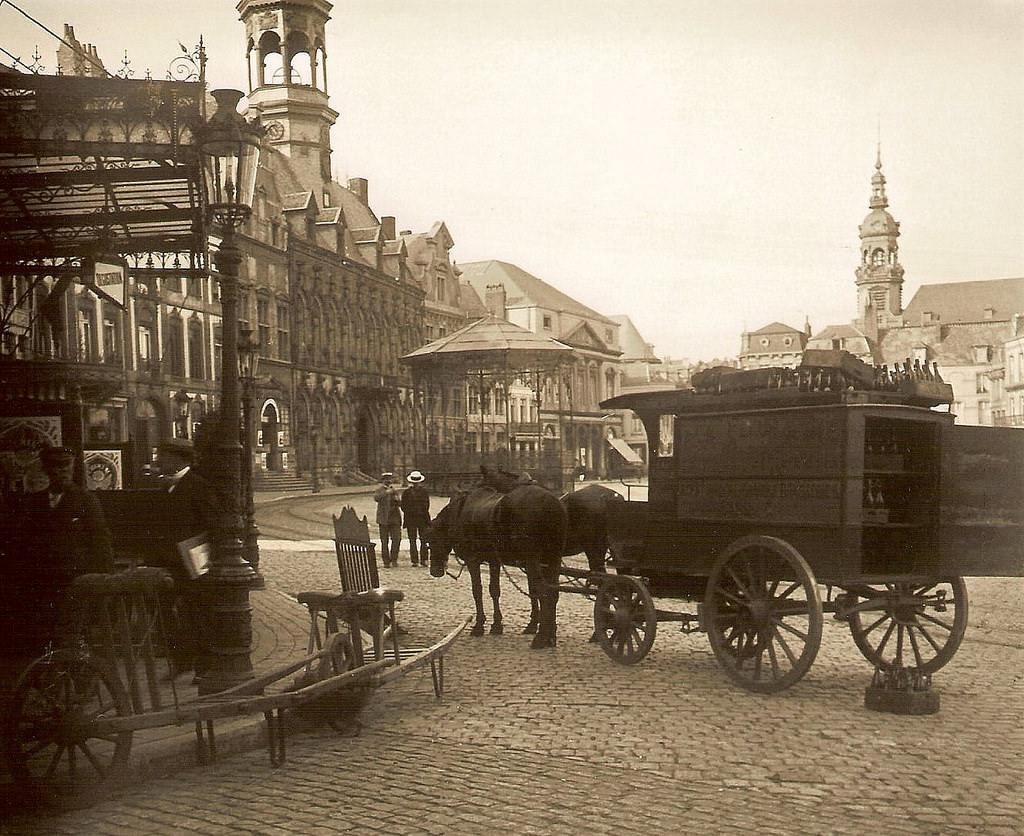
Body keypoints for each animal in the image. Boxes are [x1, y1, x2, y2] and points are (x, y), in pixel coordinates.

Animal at [425, 479, 569, 651]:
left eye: (431, 539)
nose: (435, 570)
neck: (460, 512)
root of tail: (551, 502)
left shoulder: (473, 560)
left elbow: (477, 591)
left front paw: (479, 625)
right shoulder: (494, 561)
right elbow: (494, 590)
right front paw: (497, 625)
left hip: (533, 559)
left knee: (543, 591)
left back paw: (540, 638)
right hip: (552, 558)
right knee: (553, 592)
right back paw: (550, 636)